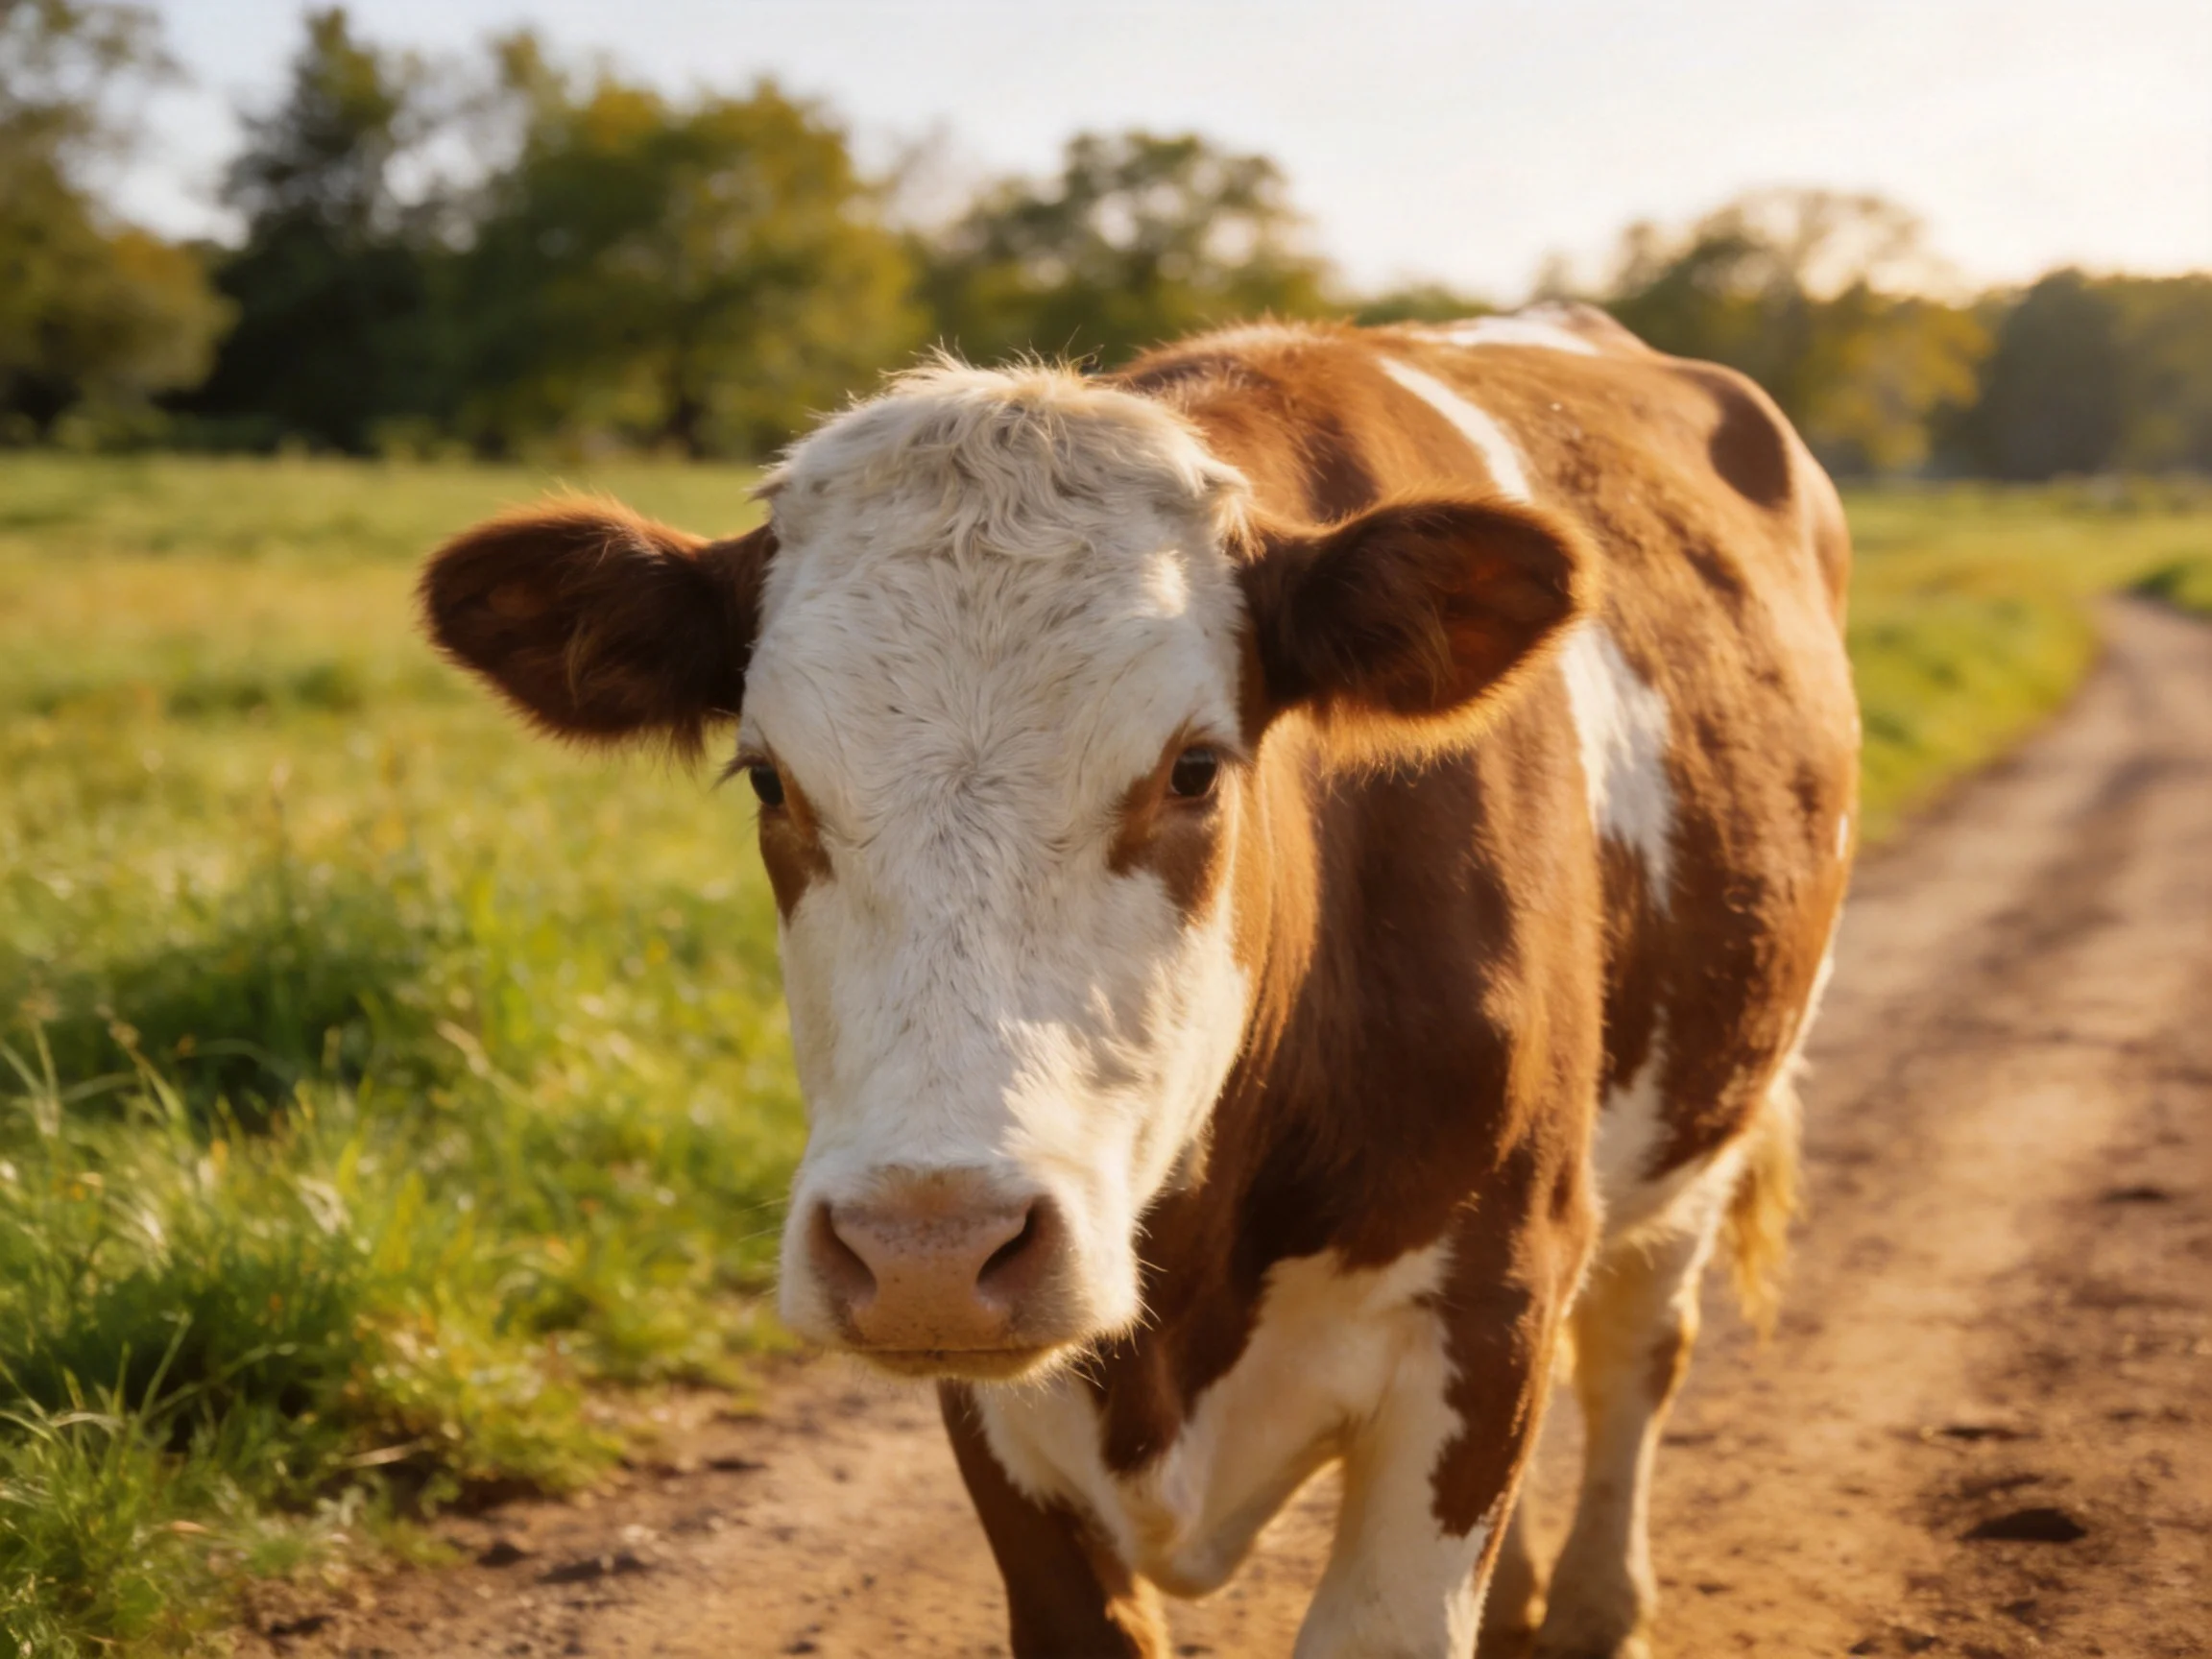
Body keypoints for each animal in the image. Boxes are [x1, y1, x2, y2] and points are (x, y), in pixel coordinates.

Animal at [420, 303, 1857, 1659]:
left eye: (1194, 770)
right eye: (769, 779)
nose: (930, 1245)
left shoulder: (1488, 1304)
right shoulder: (998, 1409)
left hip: (1699, 1125)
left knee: (1635, 1347)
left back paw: (1601, 1604)